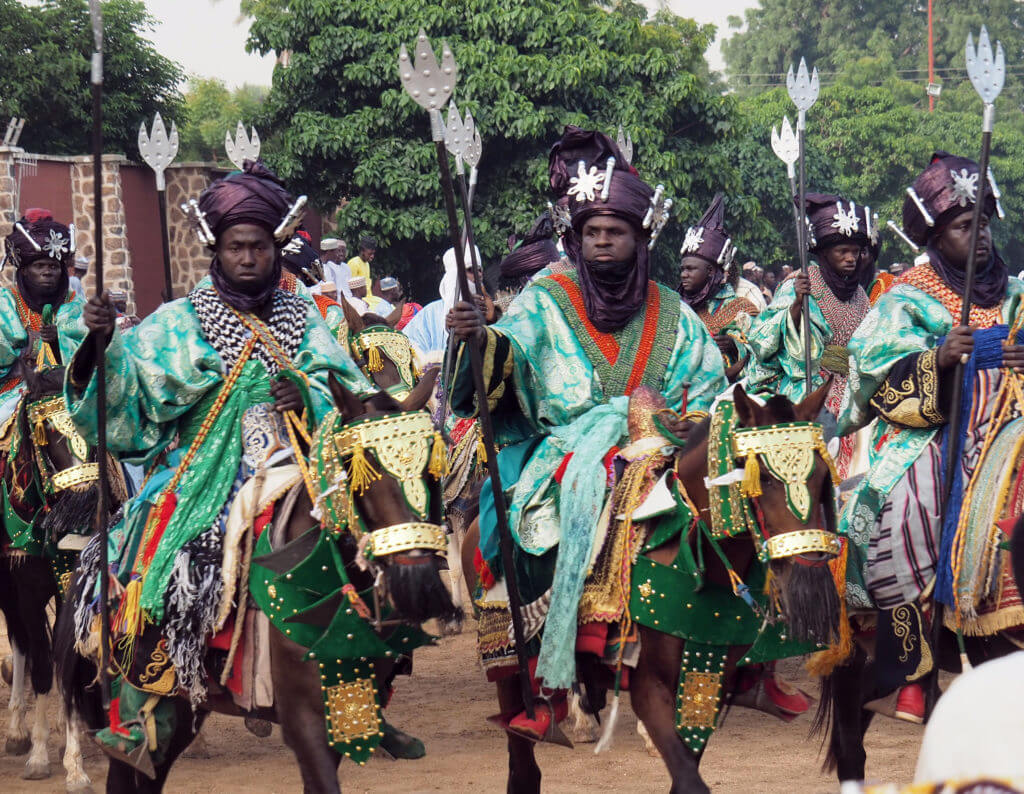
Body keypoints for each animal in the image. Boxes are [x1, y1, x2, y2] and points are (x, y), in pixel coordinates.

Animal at [55, 372, 456, 794]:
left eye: (432, 469)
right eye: (356, 468)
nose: (417, 581)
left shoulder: (346, 706)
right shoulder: (306, 719)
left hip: (178, 708)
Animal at [462, 381, 839, 790]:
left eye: (822, 476)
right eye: (762, 477)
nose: (807, 578)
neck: (698, 563)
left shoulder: (706, 682)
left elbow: (686, 773)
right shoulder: (649, 687)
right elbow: (690, 780)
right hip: (509, 670)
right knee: (522, 761)